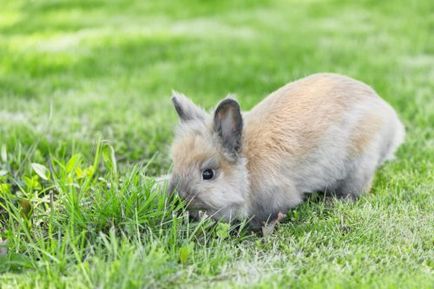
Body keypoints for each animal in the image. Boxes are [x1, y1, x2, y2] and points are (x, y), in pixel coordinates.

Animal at [168, 72, 406, 227]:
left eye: (208, 174)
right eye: (175, 164)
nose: (177, 200)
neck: (247, 169)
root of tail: (391, 120)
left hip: (360, 164)